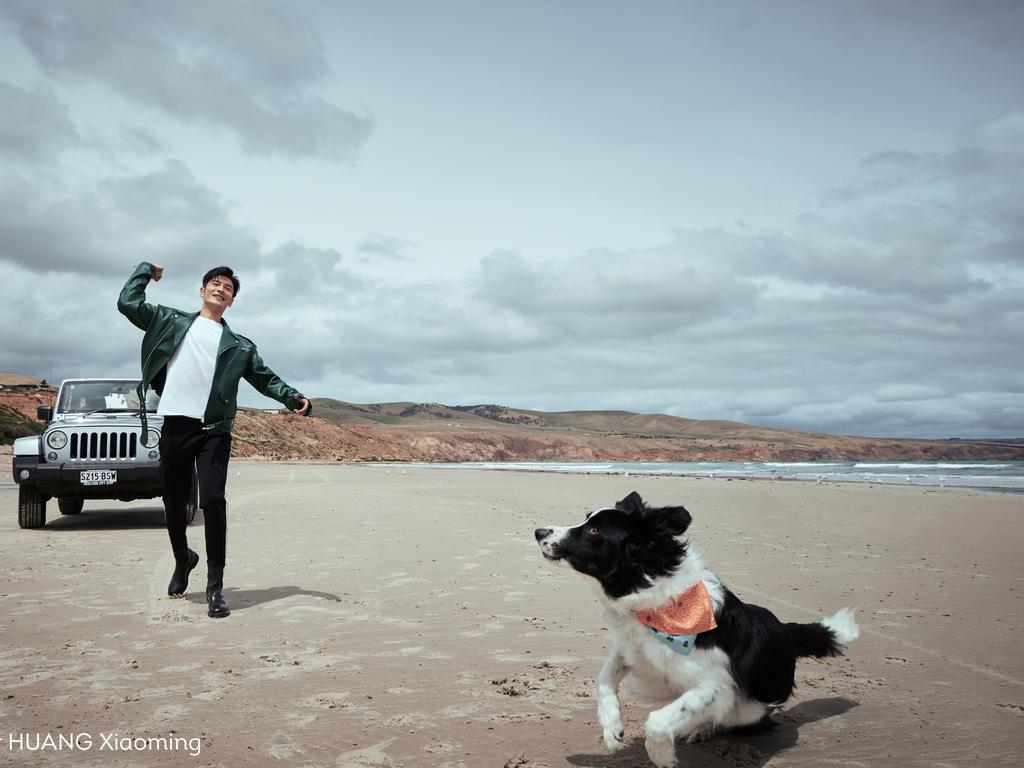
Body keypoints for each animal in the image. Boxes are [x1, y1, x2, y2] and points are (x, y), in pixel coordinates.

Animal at [536, 493, 856, 768]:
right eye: (586, 520)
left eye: (593, 531)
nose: (538, 531)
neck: (657, 600)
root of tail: (785, 630)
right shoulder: (634, 650)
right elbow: (603, 678)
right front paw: (612, 729)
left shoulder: (716, 685)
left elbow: (659, 720)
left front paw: (663, 757)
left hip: (749, 710)